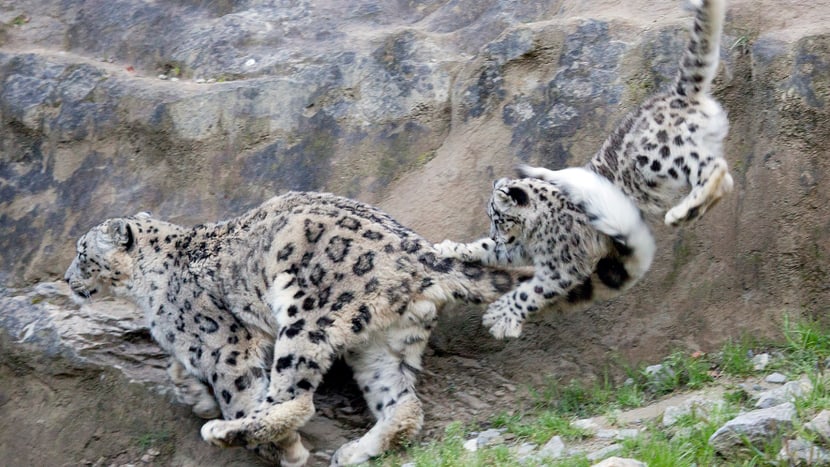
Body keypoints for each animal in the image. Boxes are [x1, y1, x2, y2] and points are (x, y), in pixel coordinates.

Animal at [65, 192, 536, 466]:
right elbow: (177, 368)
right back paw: (353, 452)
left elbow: (237, 391)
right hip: (380, 345)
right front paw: (195, 396)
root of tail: (422, 257)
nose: (68, 279)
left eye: (83, 252)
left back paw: (230, 433)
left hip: (307, 316)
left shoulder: (225, 343)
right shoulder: (193, 344)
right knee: (404, 406)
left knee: (295, 398)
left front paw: (279, 448)